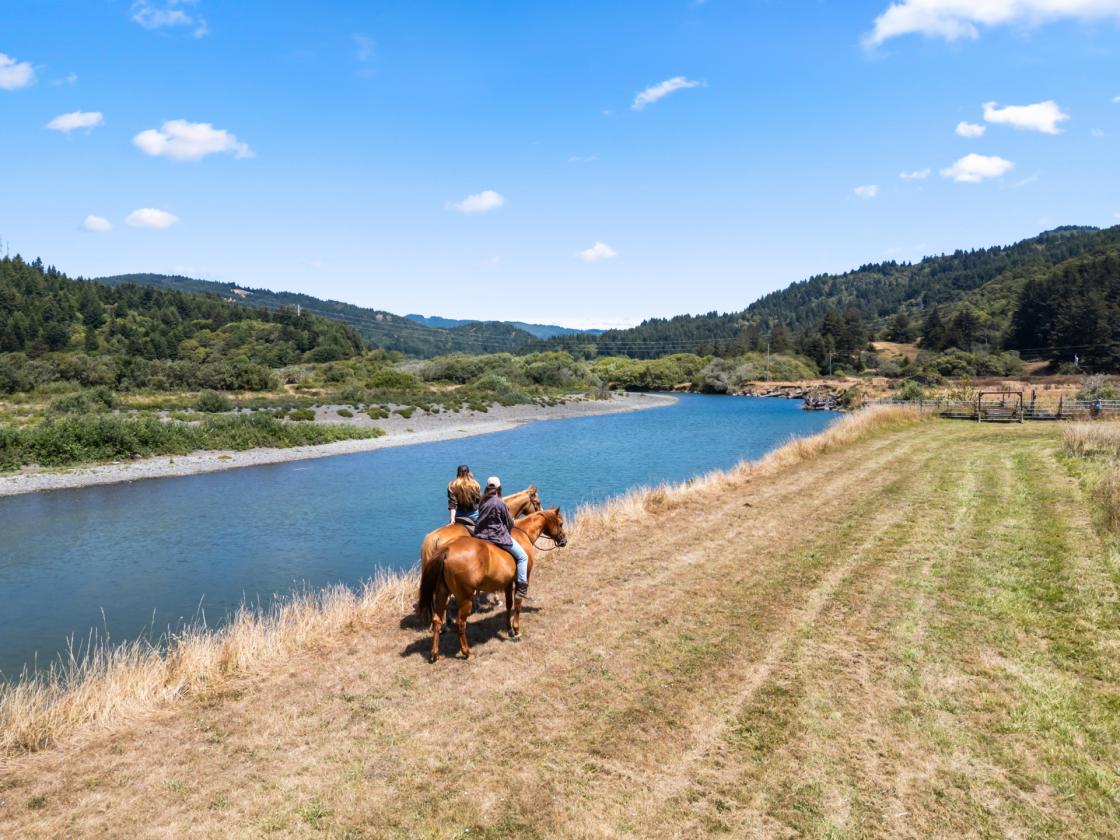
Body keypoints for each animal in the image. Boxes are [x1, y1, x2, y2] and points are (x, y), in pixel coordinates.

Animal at [416, 507, 568, 662]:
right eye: (561, 523)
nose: (564, 541)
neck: (523, 533)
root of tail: (446, 549)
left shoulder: (508, 582)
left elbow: (509, 604)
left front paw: (509, 629)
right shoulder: (522, 578)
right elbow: (518, 604)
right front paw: (517, 630)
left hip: (442, 593)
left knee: (437, 620)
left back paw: (435, 654)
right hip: (465, 598)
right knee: (460, 623)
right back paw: (467, 652)